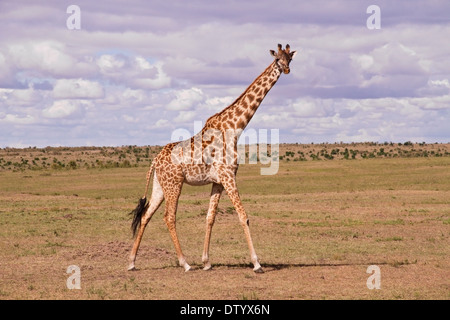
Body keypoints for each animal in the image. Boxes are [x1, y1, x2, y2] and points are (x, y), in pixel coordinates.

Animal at [127, 43, 296, 272]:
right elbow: (244, 216)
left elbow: (210, 218)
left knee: (146, 215)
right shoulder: (228, 176)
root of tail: (155, 160)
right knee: (169, 217)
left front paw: (206, 262)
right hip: (174, 184)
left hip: (160, 185)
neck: (235, 128)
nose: (286, 70)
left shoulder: (218, 181)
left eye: (290, 58)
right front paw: (257, 263)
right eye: (277, 59)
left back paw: (132, 262)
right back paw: (185, 263)